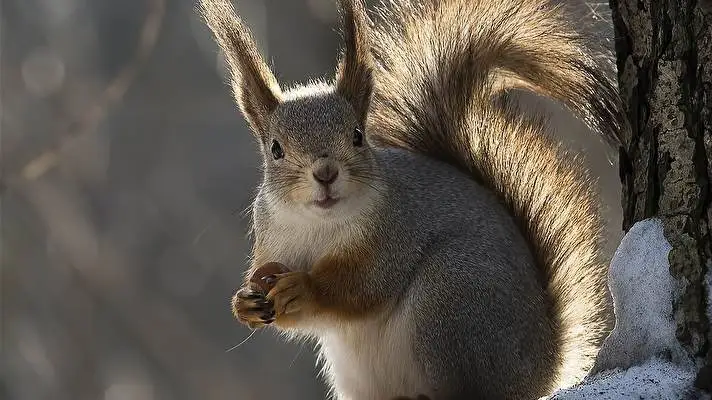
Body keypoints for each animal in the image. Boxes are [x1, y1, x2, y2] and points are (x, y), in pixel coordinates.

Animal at [199, 0, 626, 399]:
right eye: (275, 149)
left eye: (357, 136)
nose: (325, 173)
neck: (319, 225)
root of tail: (543, 368)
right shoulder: (273, 241)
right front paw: (245, 302)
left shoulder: (395, 232)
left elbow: (364, 286)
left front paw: (305, 288)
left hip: (452, 295)